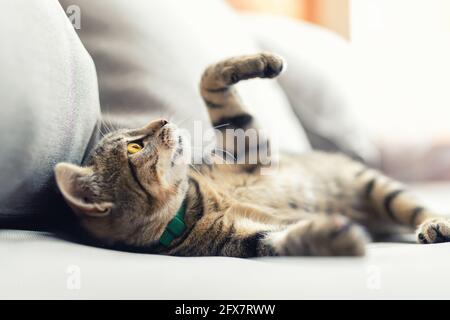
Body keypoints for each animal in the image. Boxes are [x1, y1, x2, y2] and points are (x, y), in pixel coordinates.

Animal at [55, 53, 450, 258]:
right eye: (134, 147)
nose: (161, 119)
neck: (196, 200)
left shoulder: (248, 148)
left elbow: (209, 80)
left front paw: (263, 62)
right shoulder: (248, 239)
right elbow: (284, 240)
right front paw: (333, 237)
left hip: (375, 187)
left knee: (419, 208)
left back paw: (436, 224)